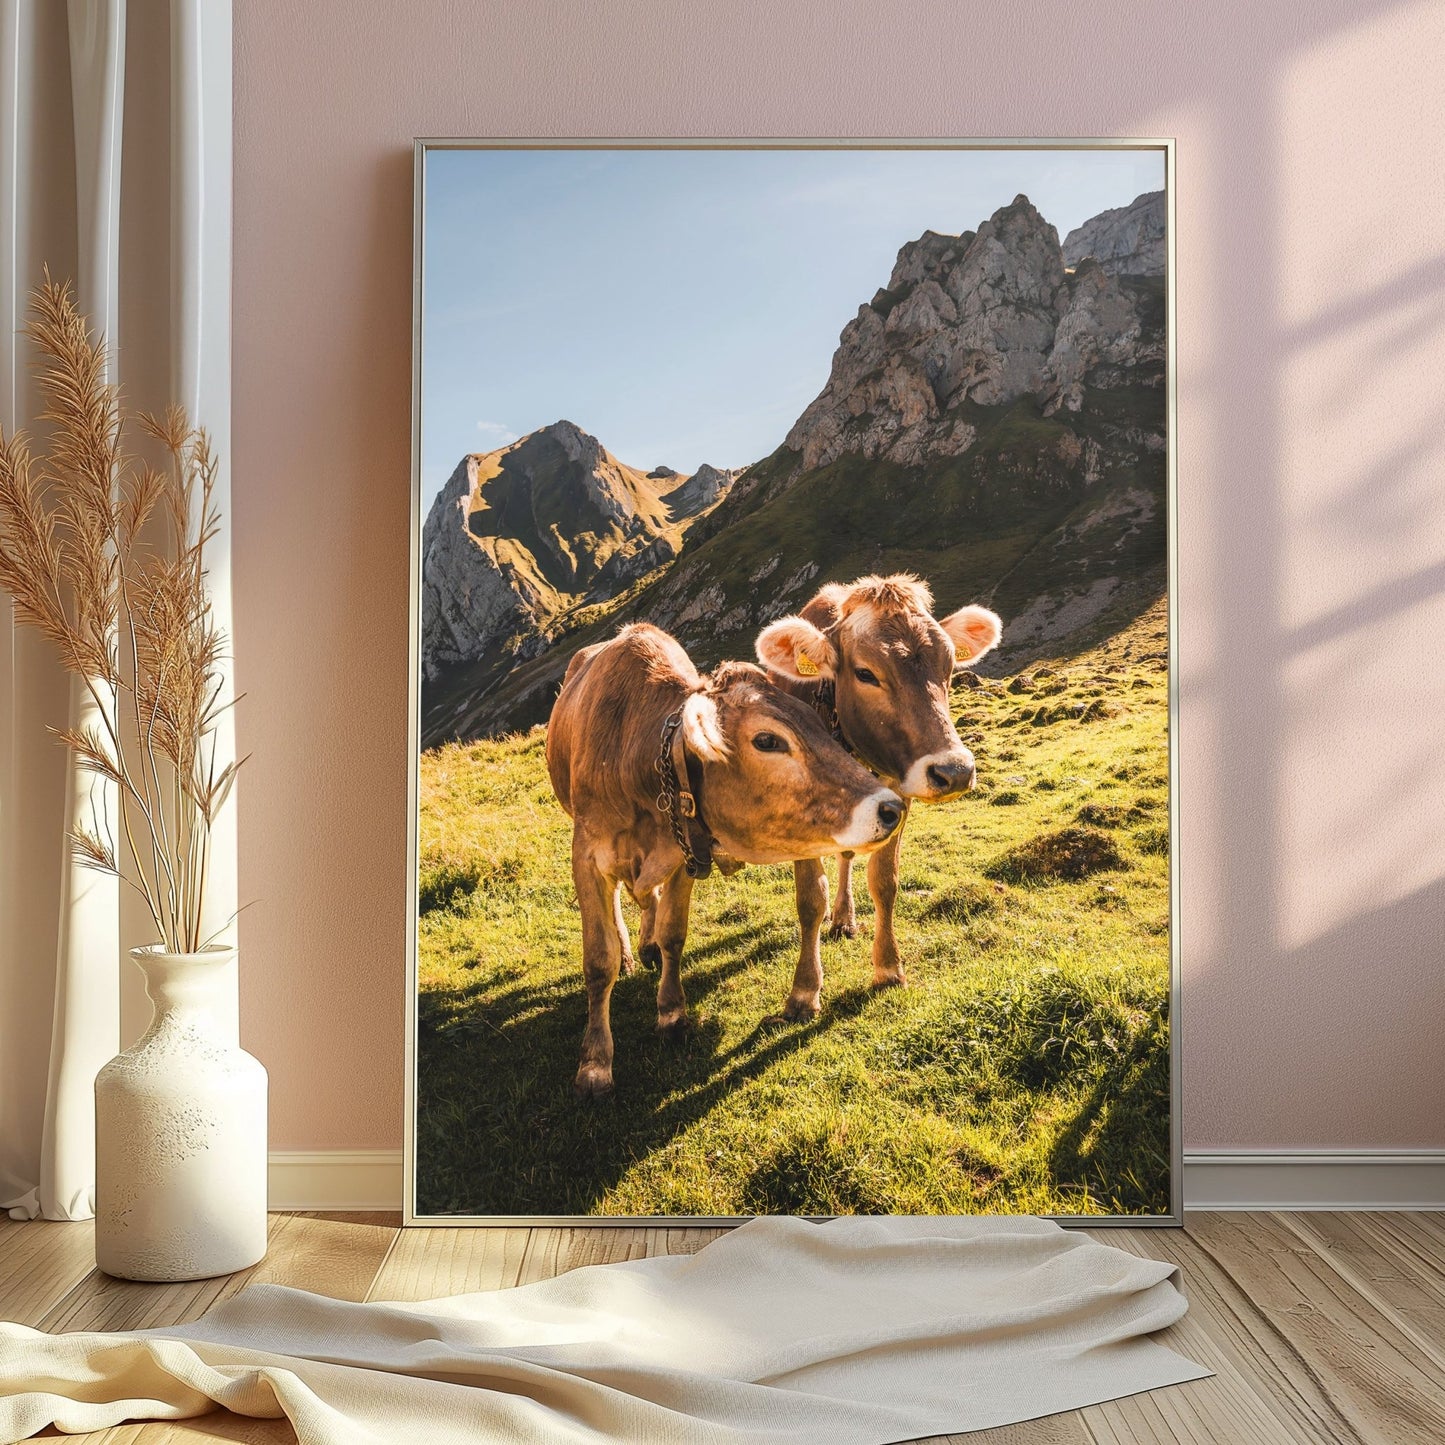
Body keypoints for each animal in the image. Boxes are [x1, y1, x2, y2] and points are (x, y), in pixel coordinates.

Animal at [543, 621, 901, 1092]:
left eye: (819, 726)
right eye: (767, 740)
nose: (891, 807)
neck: (633, 753)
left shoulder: (684, 850)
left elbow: (674, 933)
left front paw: (672, 1012)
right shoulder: (585, 854)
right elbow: (598, 961)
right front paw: (595, 1063)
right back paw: (628, 950)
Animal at [757, 572, 1005, 1017]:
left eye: (949, 667)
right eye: (865, 673)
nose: (955, 772)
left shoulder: (898, 794)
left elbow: (885, 882)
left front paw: (889, 968)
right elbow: (810, 898)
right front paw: (804, 990)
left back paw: (844, 917)